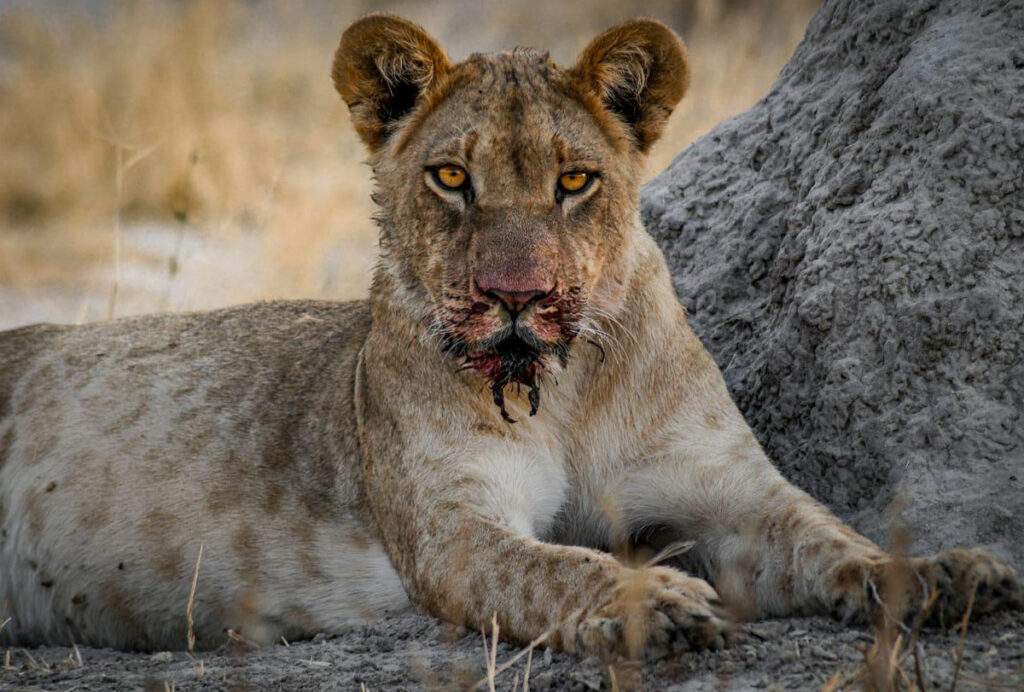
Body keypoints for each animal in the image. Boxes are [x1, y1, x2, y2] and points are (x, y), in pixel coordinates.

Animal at [0, 14, 1019, 658]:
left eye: (574, 182)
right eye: (452, 177)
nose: (517, 295)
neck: (560, 386)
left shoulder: (726, 492)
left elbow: (829, 536)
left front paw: (944, 574)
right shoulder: (452, 527)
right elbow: (551, 565)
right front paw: (657, 605)